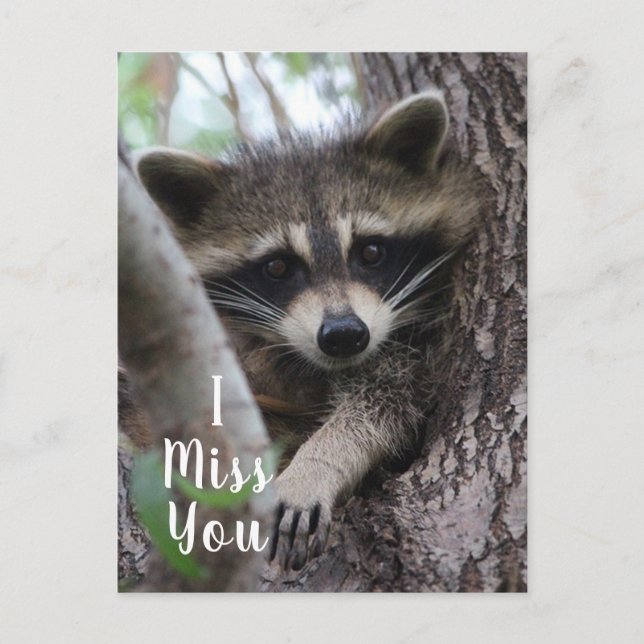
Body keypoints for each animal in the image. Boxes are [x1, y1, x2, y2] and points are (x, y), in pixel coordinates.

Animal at [127, 91, 479, 572]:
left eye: (371, 252)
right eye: (277, 266)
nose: (344, 334)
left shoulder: (418, 347)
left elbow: (386, 402)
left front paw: (318, 463)